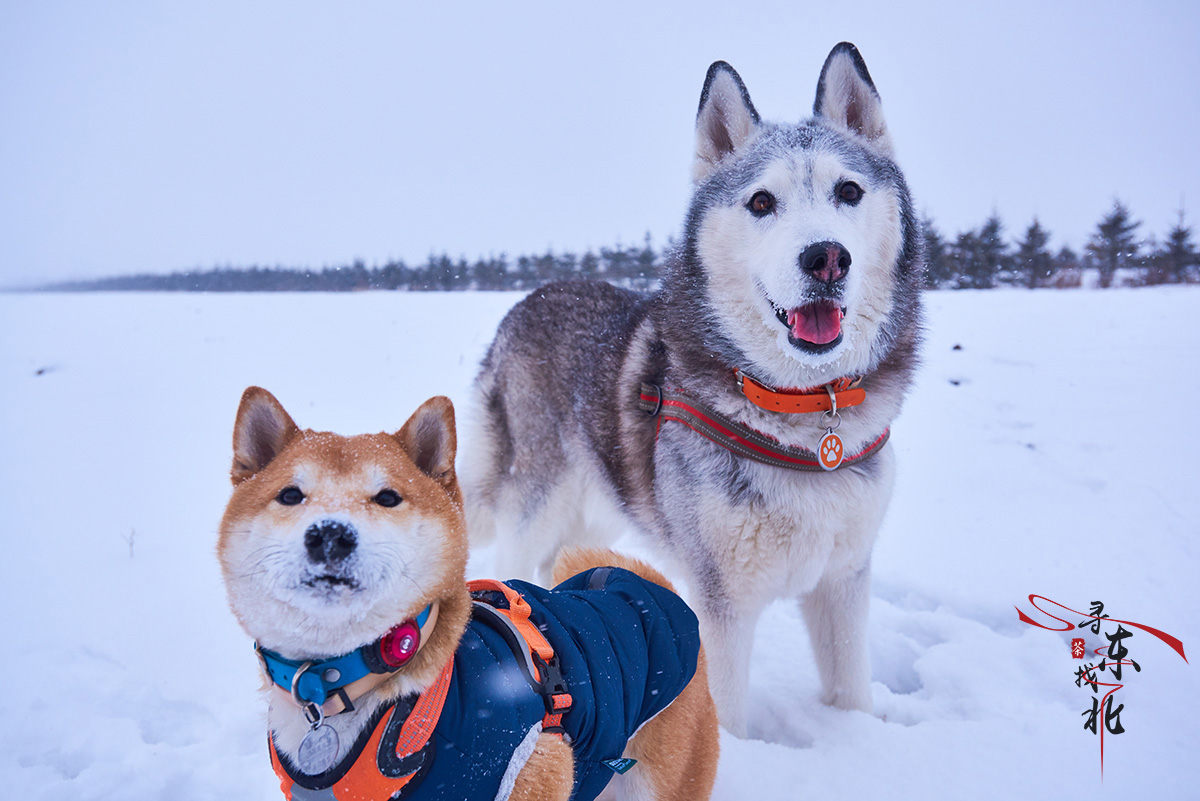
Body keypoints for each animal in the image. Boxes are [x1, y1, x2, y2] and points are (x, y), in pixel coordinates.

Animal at [463, 40, 921, 733]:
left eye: (848, 191)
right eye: (761, 203)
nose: (825, 258)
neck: (803, 414)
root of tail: (524, 303)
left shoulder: (842, 579)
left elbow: (851, 692)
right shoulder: (720, 601)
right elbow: (723, 715)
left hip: (598, 509)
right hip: (536, 501)